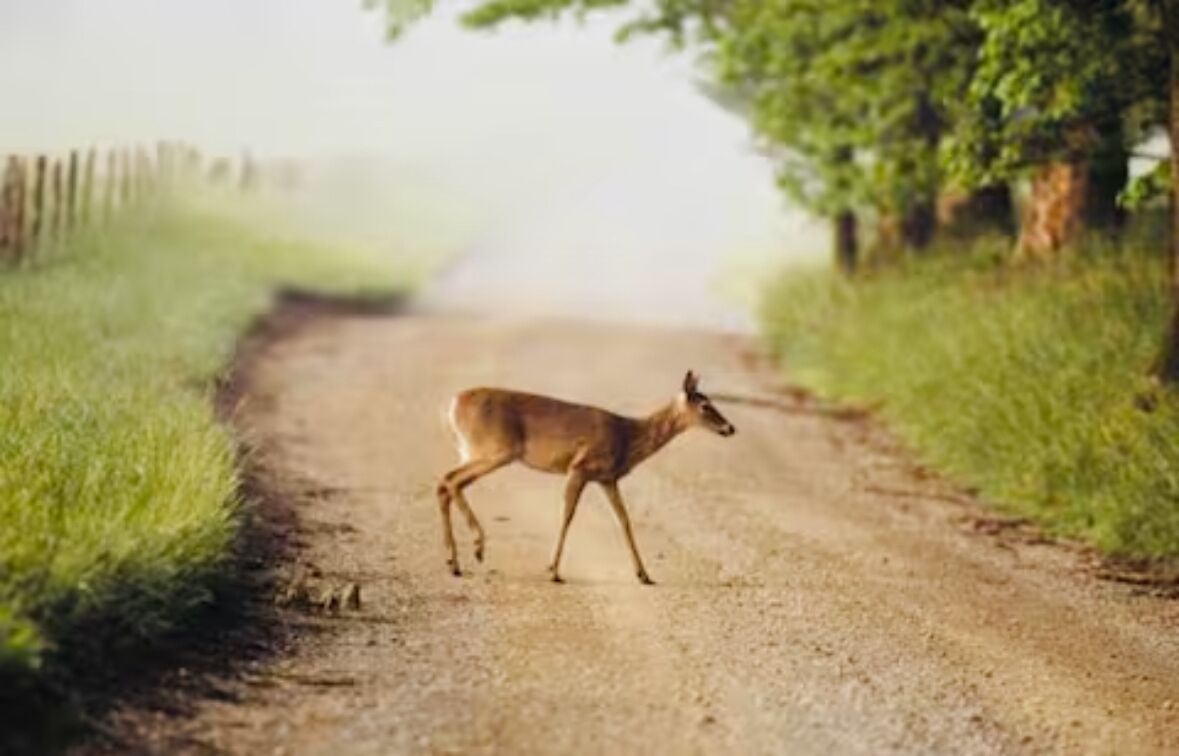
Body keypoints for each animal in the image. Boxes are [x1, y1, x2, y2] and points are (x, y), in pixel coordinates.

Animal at [435, 371, 736, 584]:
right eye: (706, 405)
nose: (730, 428)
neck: (628, 437)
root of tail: (453, 404)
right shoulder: (579, 467)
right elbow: (567, 516)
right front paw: (553, 571)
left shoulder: (607, 479)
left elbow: (624, 521)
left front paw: (644, 575)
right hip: (494, 450)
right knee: (450, 480)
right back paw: (476, 548)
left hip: (474, 450)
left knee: (446, 483)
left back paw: (454, 563)